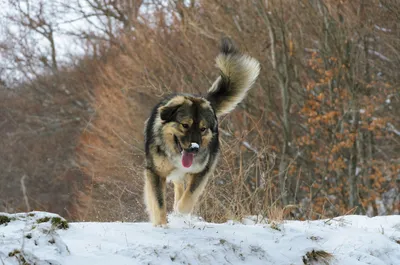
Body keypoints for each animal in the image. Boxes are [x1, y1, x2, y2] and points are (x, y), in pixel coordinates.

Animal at [142, 37, 260, 225]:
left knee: (182, 187)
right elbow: (158, 203)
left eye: (203, 128)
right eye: (185, 125)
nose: (194, 148)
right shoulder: (155, 172)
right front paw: (161, 225)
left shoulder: (202, 170)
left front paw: (179, 212)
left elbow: (189, 197)